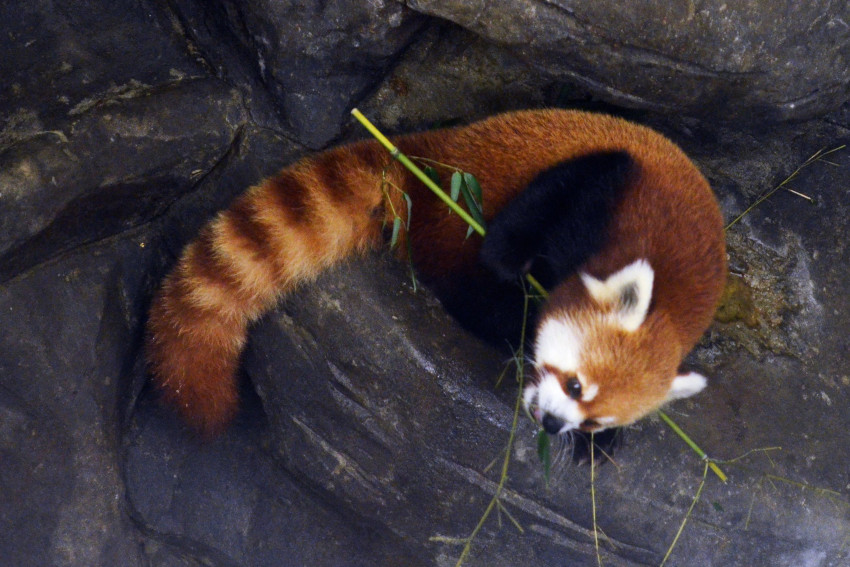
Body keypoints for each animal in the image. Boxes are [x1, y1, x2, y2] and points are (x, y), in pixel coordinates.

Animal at [144, 107, 724, 452]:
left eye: (594, 419)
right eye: (574, 383)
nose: (555, 425)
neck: (671, 297)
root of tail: (429, 160)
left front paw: (595, 449)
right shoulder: (615, 190)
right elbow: (551, 201)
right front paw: (511, 267)